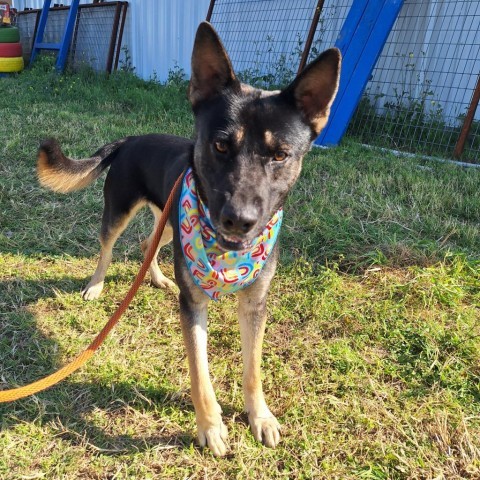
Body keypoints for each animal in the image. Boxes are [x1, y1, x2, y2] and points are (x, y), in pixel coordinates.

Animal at [37, 23, 342, 458]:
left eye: (281, 155)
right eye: (220, 145)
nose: (239, 220)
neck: (227, 260)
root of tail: (131, 139)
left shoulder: (255, 303)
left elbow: (253, 368)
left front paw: (260, 416)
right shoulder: (193, 304)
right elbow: (200, 374)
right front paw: (210, 427)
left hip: (167, 220)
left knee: (147, 244)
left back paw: (158, 278)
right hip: (119, 211)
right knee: (107, 247)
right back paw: (96, 285)